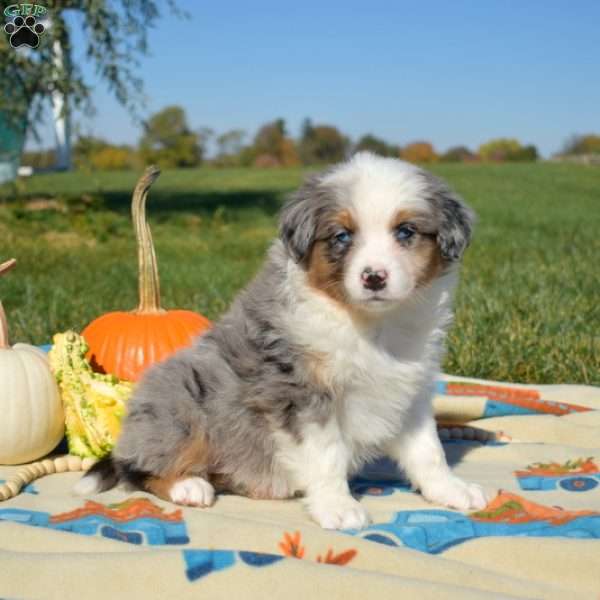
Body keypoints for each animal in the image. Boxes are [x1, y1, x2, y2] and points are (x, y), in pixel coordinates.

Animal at [76, 152, 488, 528]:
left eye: (406, 232)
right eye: (342, 236)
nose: (374, 277)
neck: (371, 325)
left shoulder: (410, 392)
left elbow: (428, 450)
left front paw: (451, 489)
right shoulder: (300, 392)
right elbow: (327, 454)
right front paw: (338, 507)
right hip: (182, 401)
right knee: (136, 468)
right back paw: (189, 485)